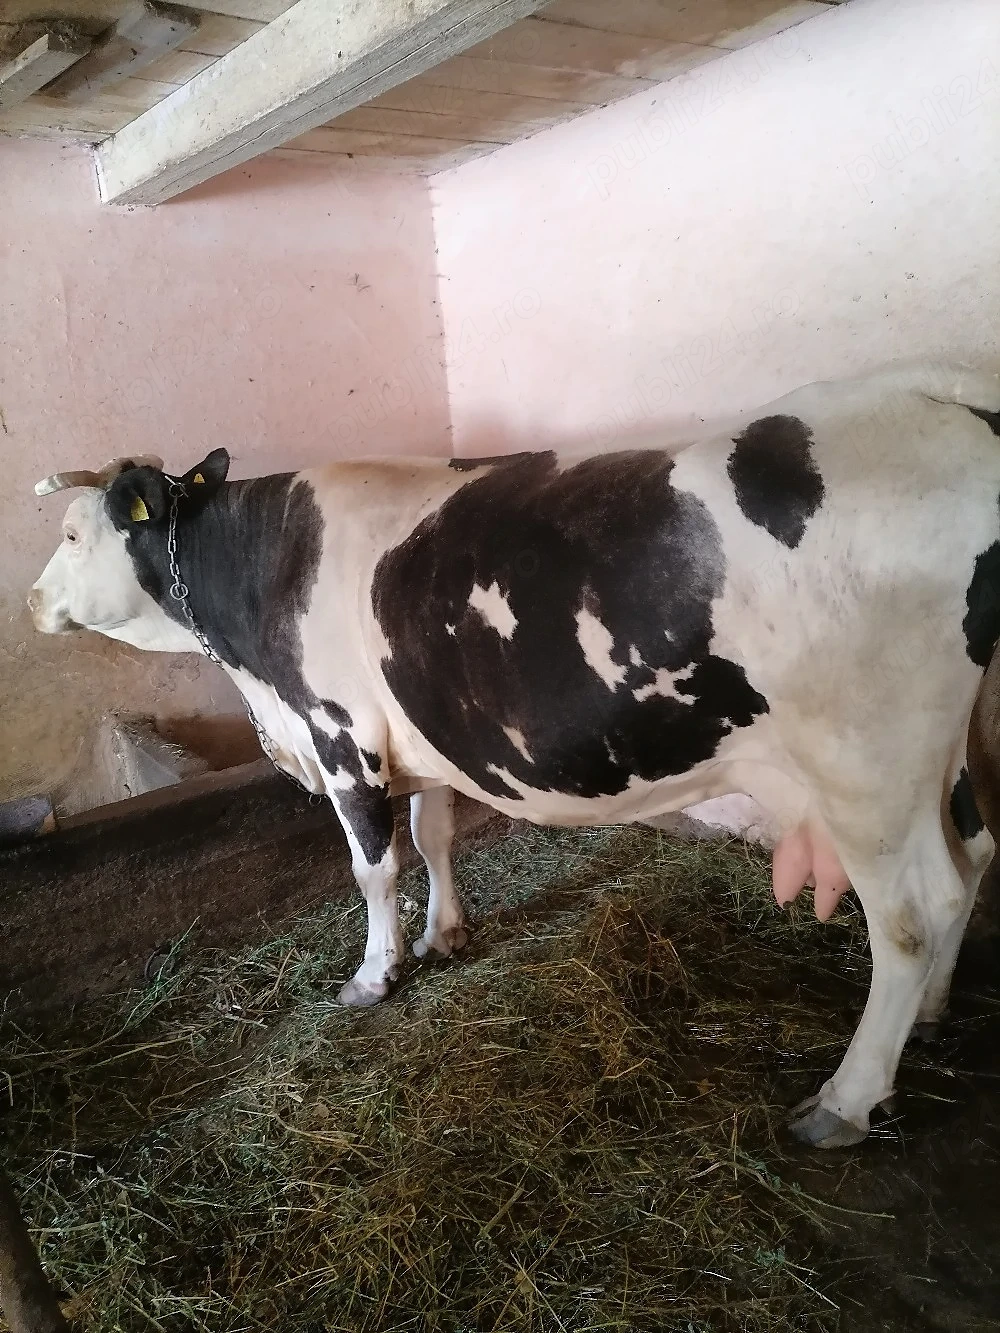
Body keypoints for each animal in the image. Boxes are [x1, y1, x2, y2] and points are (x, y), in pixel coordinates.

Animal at [28, 360, 1000, 1149]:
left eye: (74, 533)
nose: (32, 602)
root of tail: (928, 392)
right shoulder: (420, 740)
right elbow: (435, 836)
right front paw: (446, 932)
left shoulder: (342, 737)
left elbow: (374, 868)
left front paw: (374, 973)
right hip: (937, 751)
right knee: (971, 861)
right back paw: (933, 1015)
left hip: (865, 763)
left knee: (911, 915)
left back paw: (846, 1098)